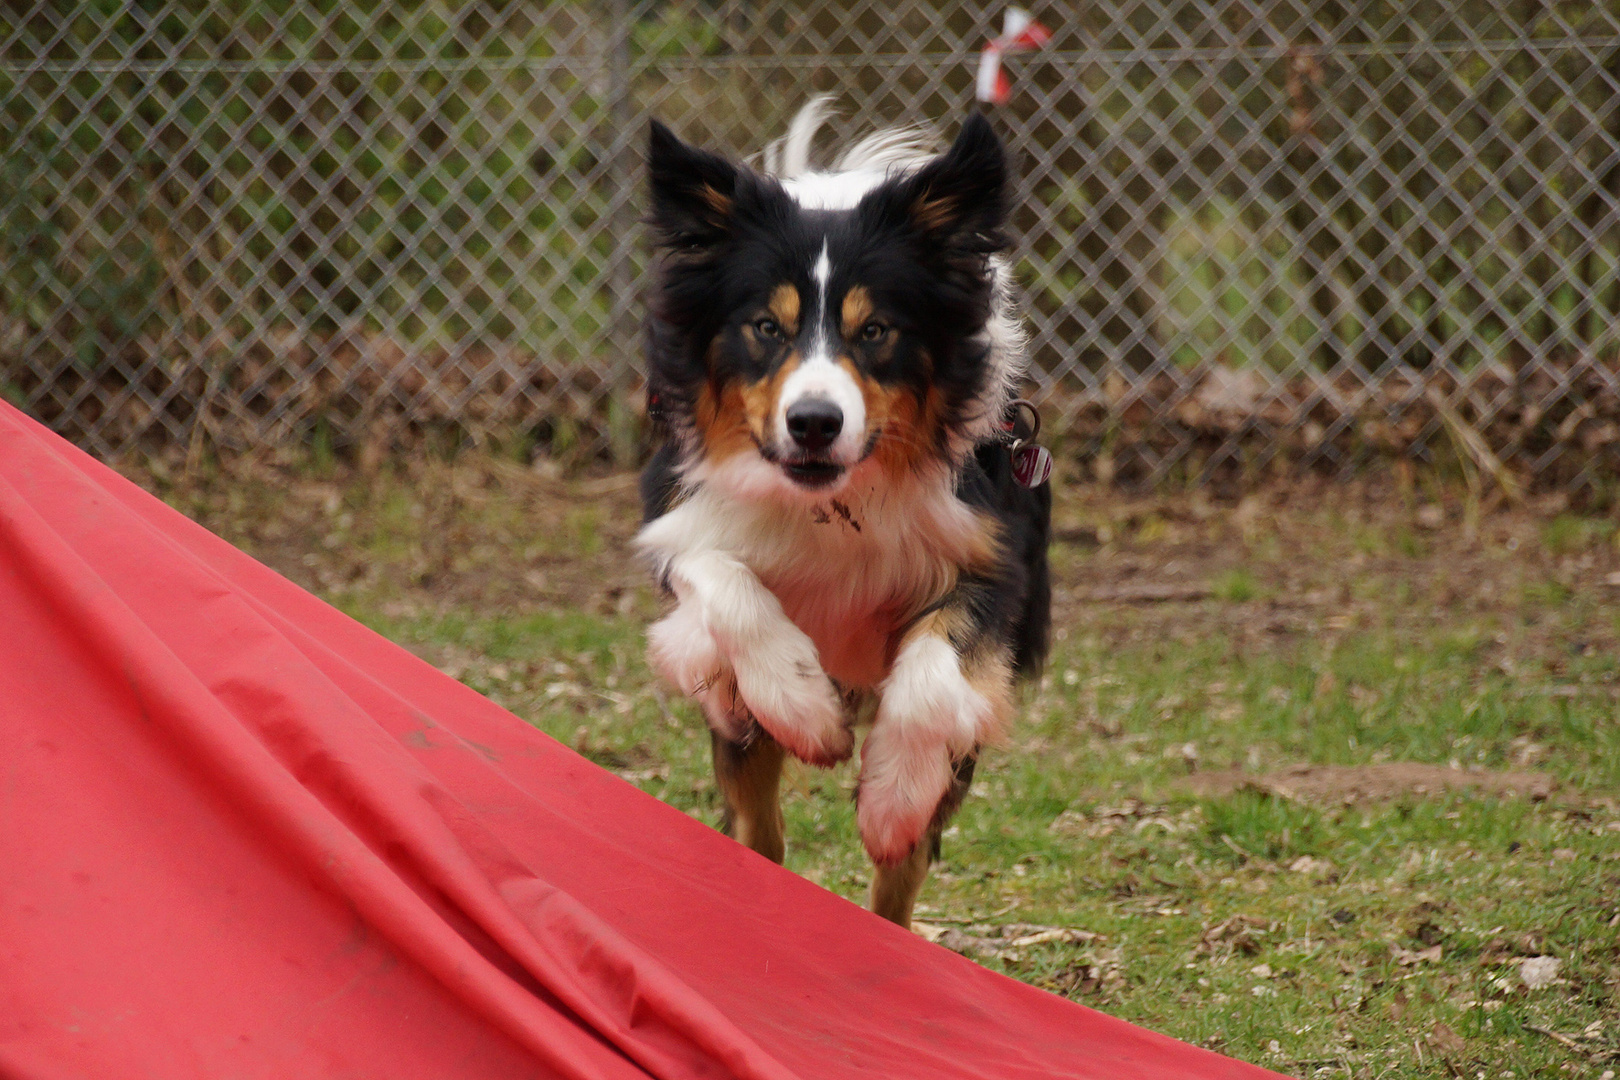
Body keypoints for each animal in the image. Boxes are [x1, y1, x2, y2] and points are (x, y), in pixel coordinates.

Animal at [631, 103, 1049, 932]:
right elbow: (720, 576)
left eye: (876, 330)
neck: (835, 497)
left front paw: (891, 797)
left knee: (900, 874)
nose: (815, 424)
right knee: (757, 824)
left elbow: (935, 673)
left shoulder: (993, 553)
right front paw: (805, 707)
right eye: (766, 326)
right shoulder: (681, 513)